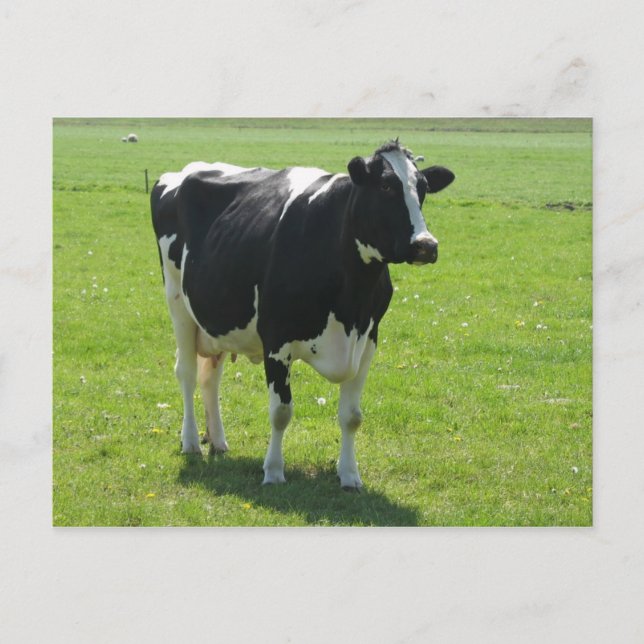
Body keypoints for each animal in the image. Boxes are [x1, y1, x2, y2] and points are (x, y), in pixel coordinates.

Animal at [151, 140, 454, 489]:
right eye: (386, 186)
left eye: (424, 187)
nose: (426, 245)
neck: (351, 300)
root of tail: (184, 171)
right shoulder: (276, 340)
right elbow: (281, 412)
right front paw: (273, 471)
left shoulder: (368, 339)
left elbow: (352, 417)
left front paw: (350, 475)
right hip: (178, 304)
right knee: (186, 373)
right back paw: (190, 442)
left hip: (218, 320)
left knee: (210, 378)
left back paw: (218, 441)